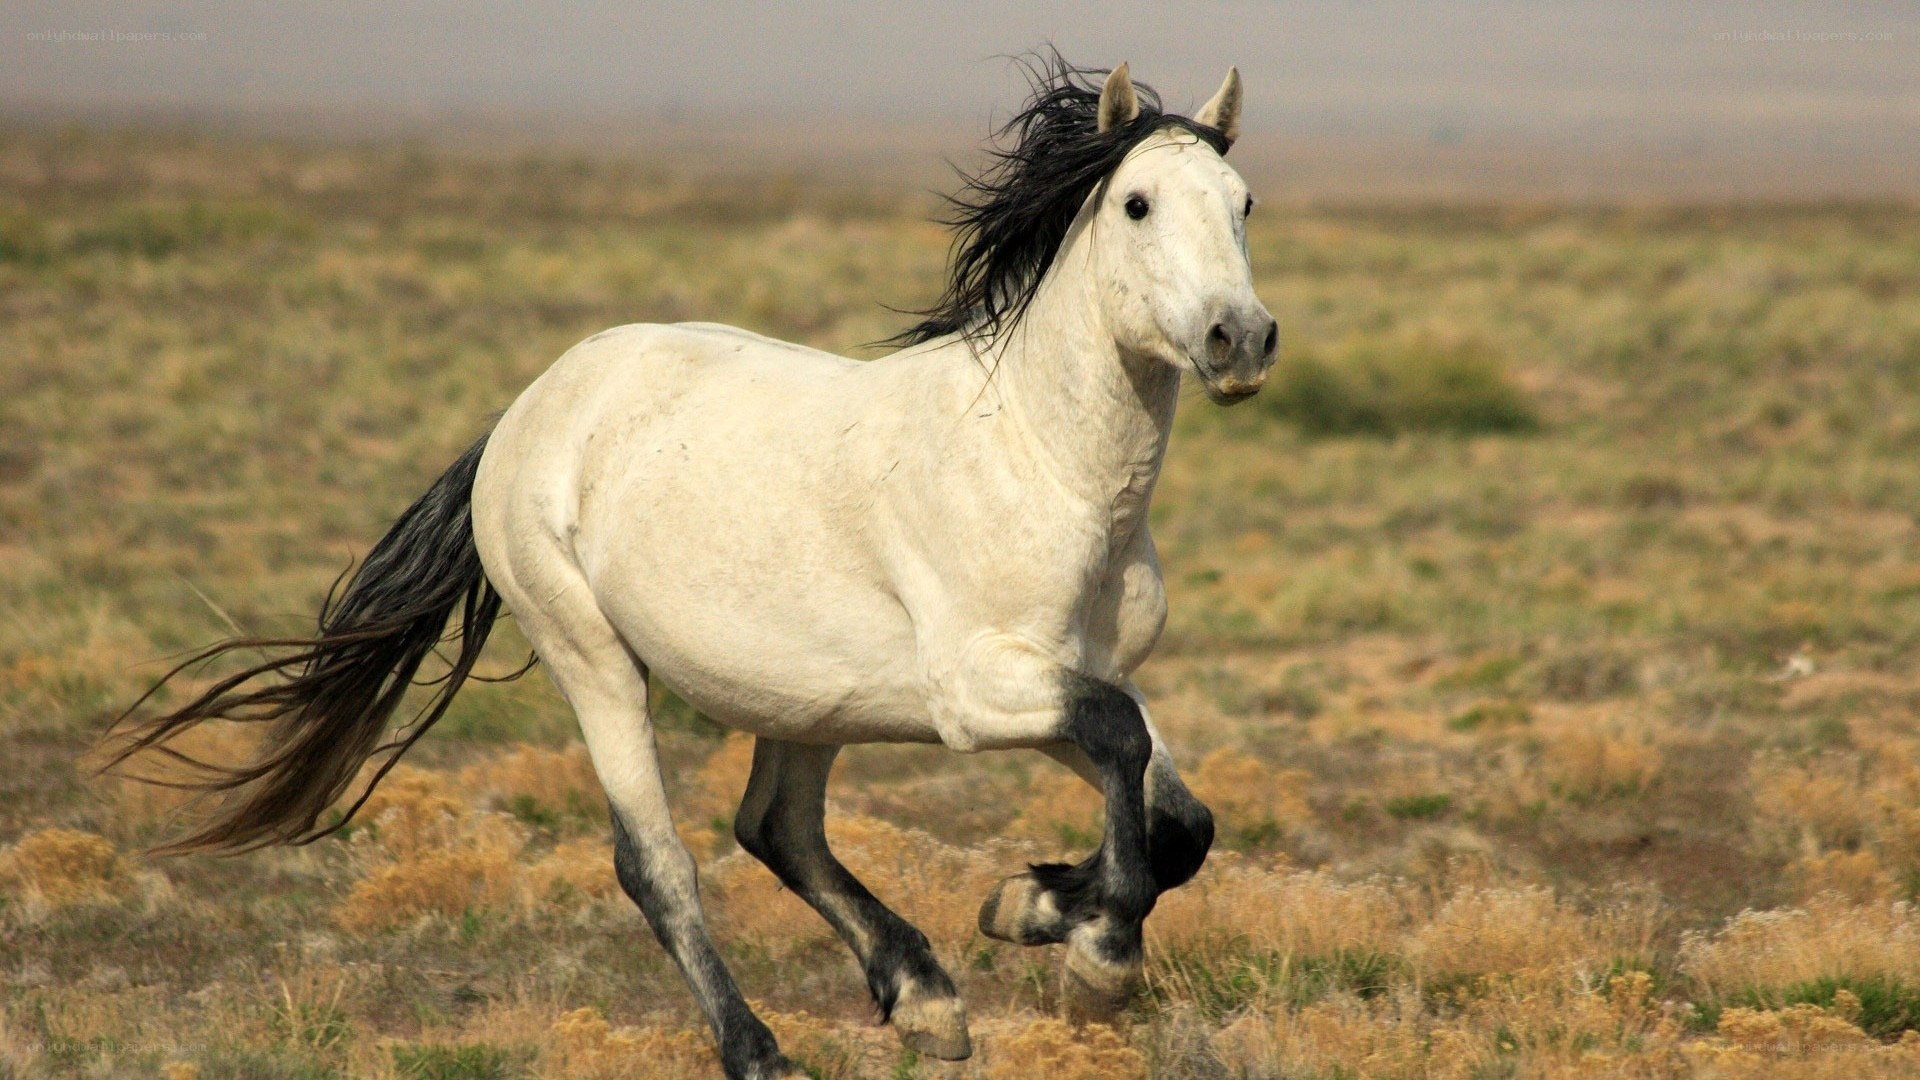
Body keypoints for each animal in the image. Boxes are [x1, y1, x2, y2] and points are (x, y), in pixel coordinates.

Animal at [107, 56, 1277, 1080]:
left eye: (1245, 202)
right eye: (1136, 204)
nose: (1241, 339)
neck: (1040, 462)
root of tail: (527, 411)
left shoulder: (1078, 676)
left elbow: (1177, 816)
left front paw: (1027, 905)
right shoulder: (978, 692)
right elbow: (1124, 748)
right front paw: (1094, 957)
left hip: (812, 701)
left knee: (777, 829)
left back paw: (926, 999)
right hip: (593, 661)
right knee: (659, 865)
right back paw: (761, 1050)